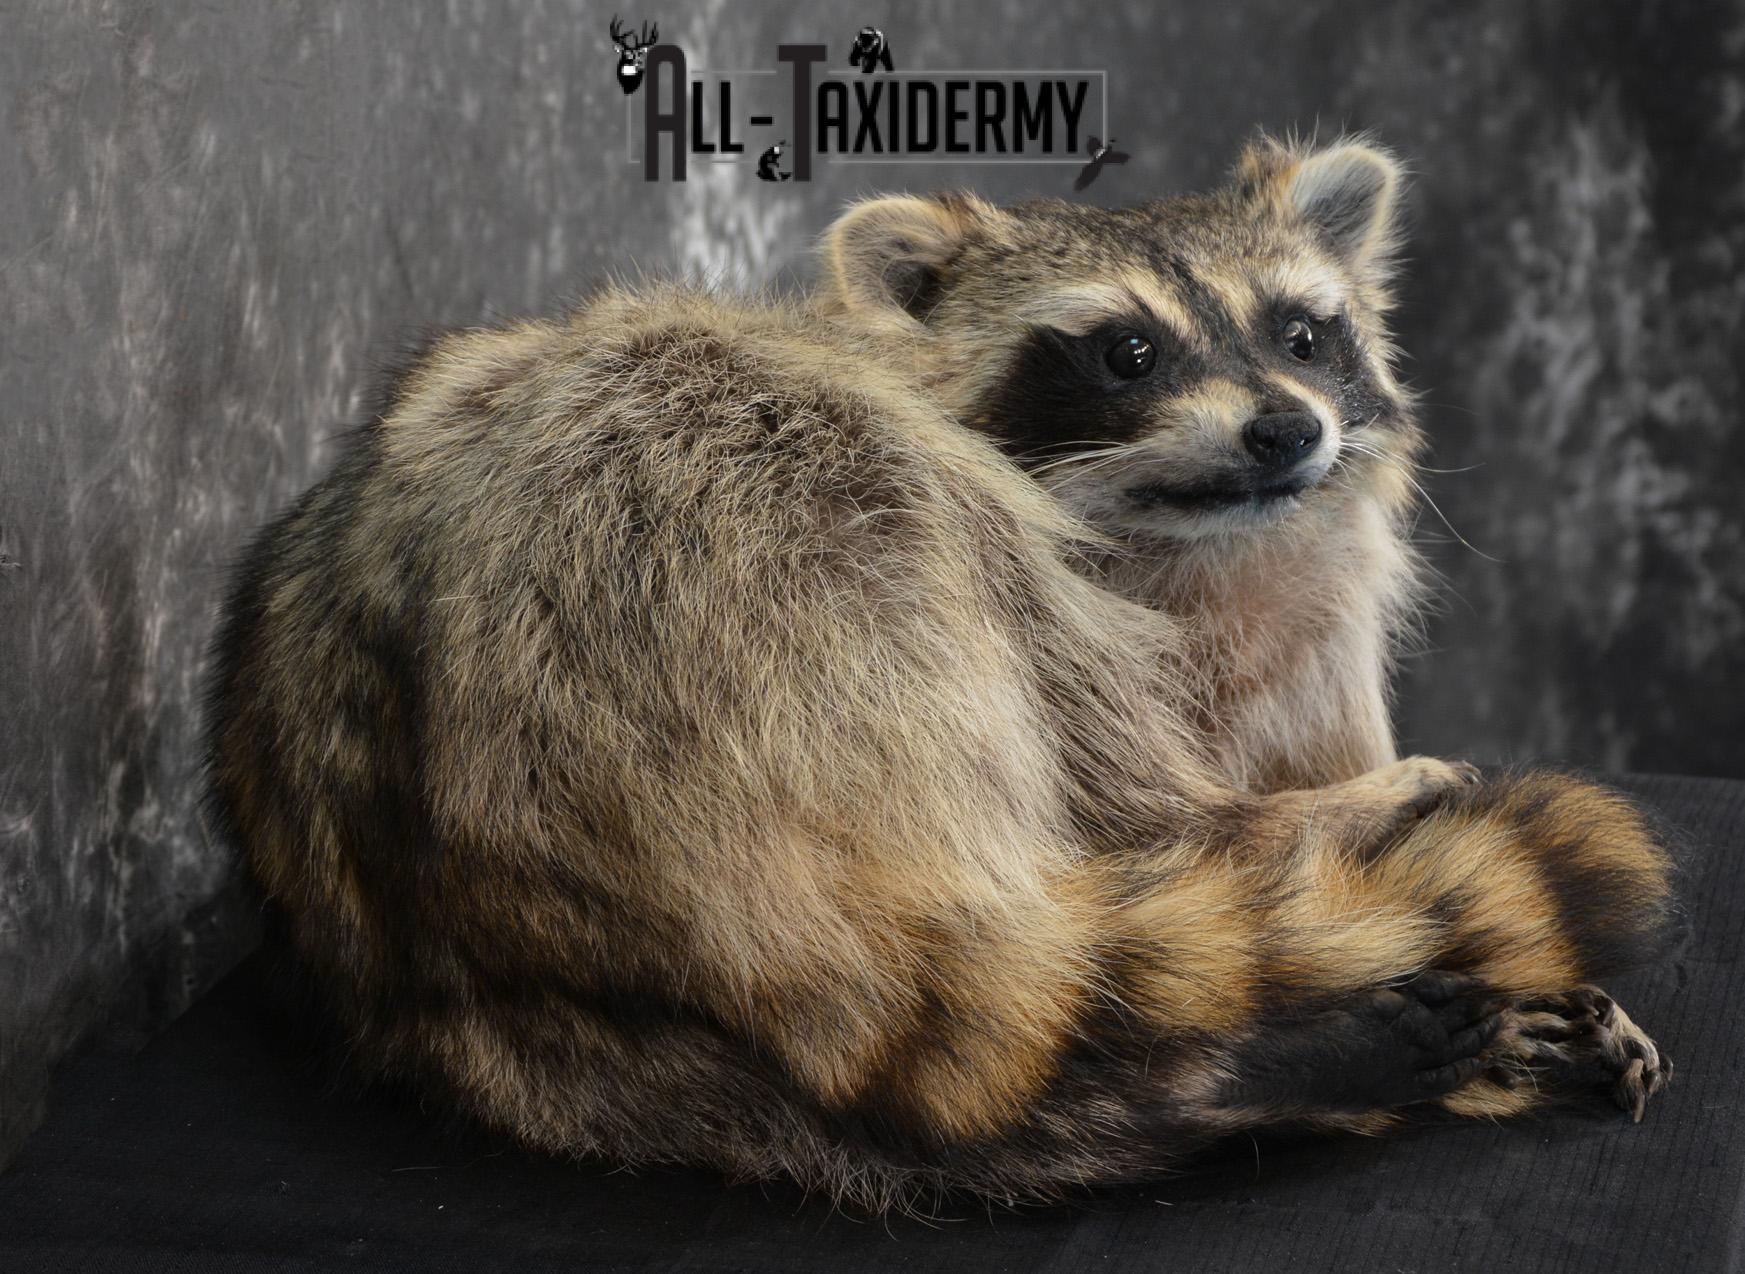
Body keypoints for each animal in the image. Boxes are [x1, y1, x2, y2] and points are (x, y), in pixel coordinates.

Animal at [206, 136, 1676, 1210]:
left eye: (1302, 334)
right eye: (1127, 351)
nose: (1283, 427)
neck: (1188, 547)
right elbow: (1145, 797)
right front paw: (1333, 810)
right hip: (713, 555)